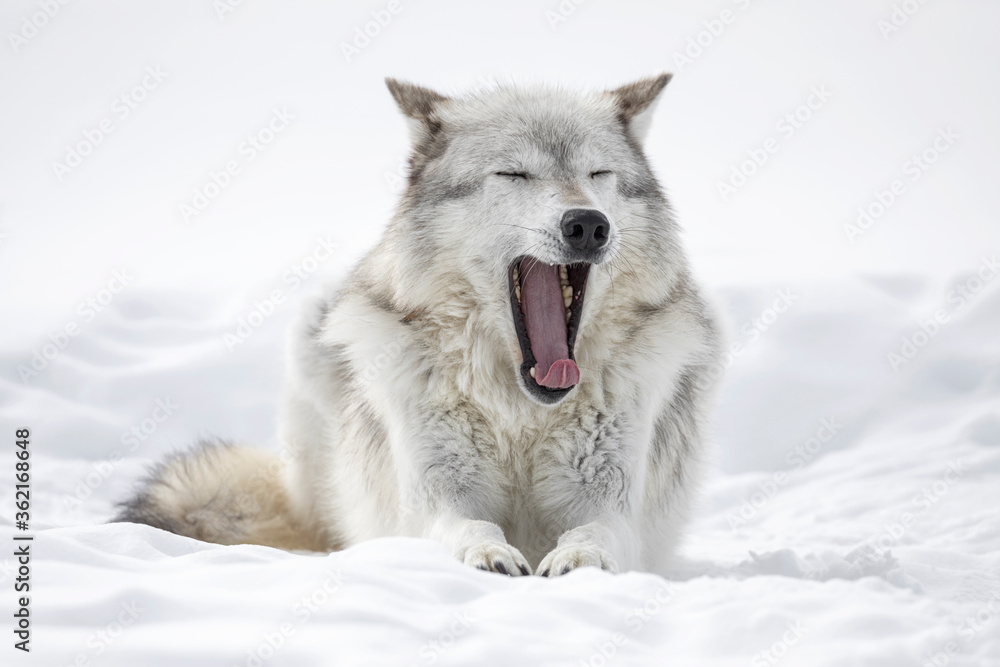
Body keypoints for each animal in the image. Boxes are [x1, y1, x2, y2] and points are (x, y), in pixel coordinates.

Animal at [116, 74, 722, 576]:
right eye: (514, 173)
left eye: (599, 174)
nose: (589, 224)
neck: (521, 416)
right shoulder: (435, 497)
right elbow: (467, 525)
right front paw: (488, 553)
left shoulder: (612, 503)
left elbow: (596, 532)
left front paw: (578, 559)